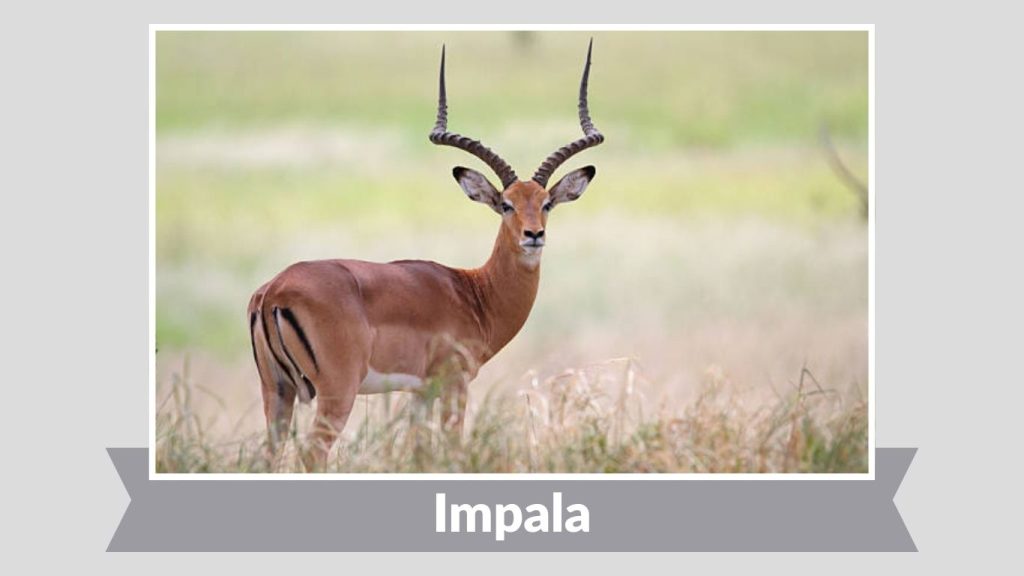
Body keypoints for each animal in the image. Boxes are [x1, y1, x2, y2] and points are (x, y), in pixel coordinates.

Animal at [247, 41, 605, 470]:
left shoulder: (420, 392)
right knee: (311, 452)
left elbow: (416, 451)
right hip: (336, 392)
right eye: (505, 204)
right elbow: (451, 447)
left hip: (276, 392)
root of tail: (273, 292)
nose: (534, 235)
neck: (474, 294)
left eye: (546, 203)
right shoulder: (454, 383)